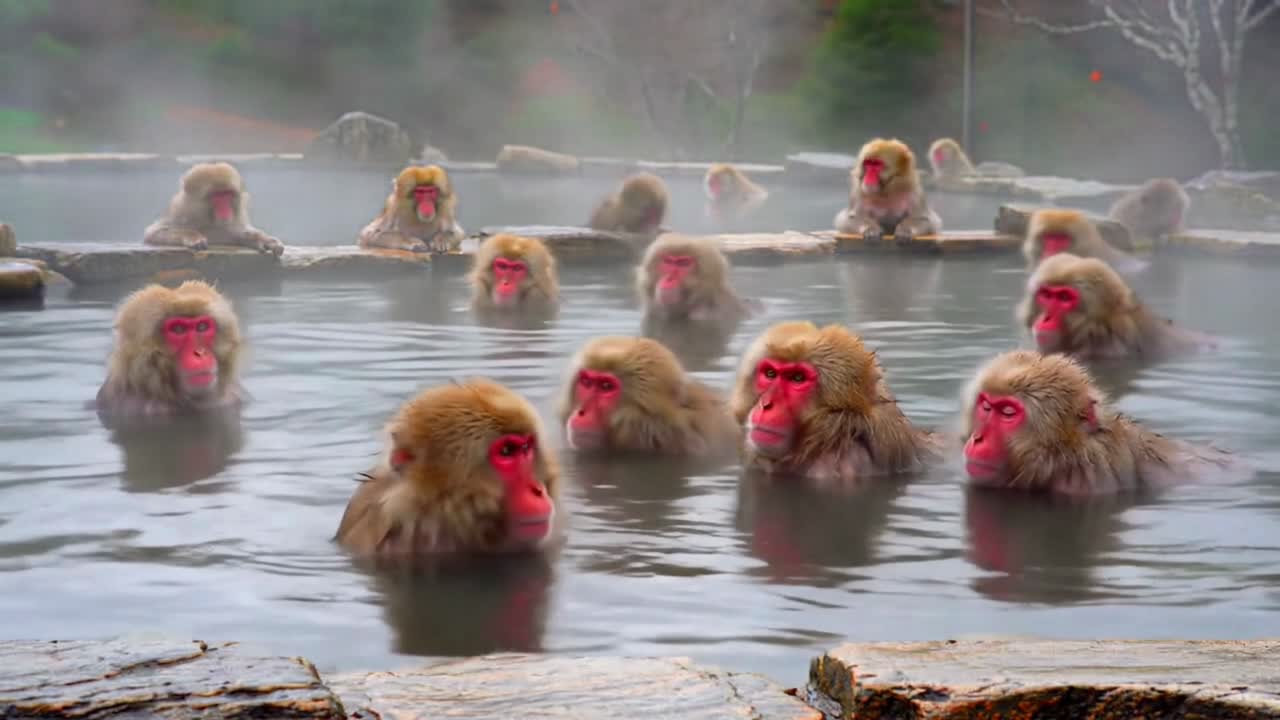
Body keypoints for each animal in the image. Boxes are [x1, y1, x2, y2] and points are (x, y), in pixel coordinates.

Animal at [143, 163, 284, 256]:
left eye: (227, 194)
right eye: (216, 196)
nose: (225, 209)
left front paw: (259, 238)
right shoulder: (179, 212)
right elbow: (153, 232)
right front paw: (192, 236)